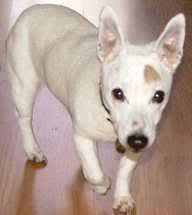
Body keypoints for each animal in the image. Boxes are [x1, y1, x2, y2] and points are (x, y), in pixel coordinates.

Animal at [6, 4, 185, 213]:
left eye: (159, 96)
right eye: (118, 93)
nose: (137, 140)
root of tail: (33, 8)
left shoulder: (139, 141)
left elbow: (125, 169)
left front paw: (122, 196)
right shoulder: (82, 137)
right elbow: (95, 173)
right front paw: (101, 184)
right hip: (24, 85)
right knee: (24, 119)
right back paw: (32, 149)